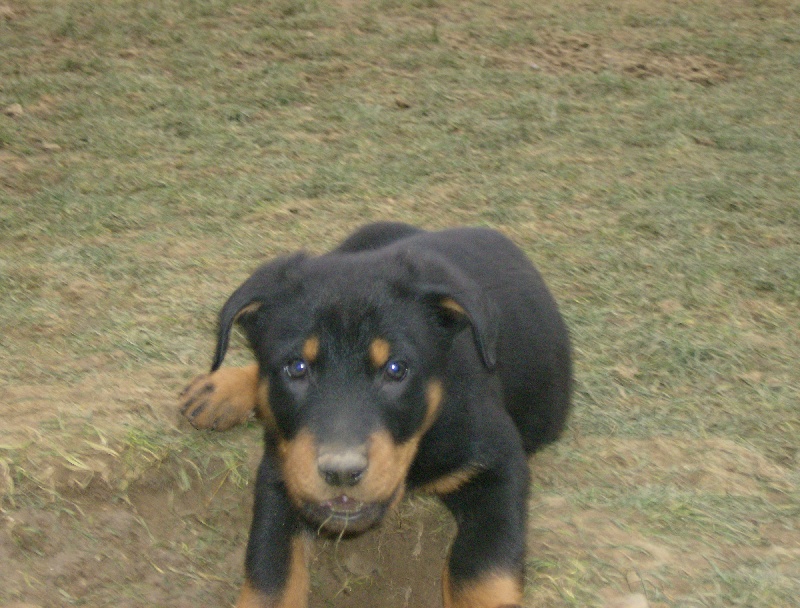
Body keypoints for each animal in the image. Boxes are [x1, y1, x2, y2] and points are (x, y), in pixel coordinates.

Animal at [178, 222, 572, 608]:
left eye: (396, 369)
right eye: (296, 367)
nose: (341, 472)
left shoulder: (499, 462)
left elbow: (480, 575)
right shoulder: (283, 467)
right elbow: (270, 574)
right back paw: (219, 389)